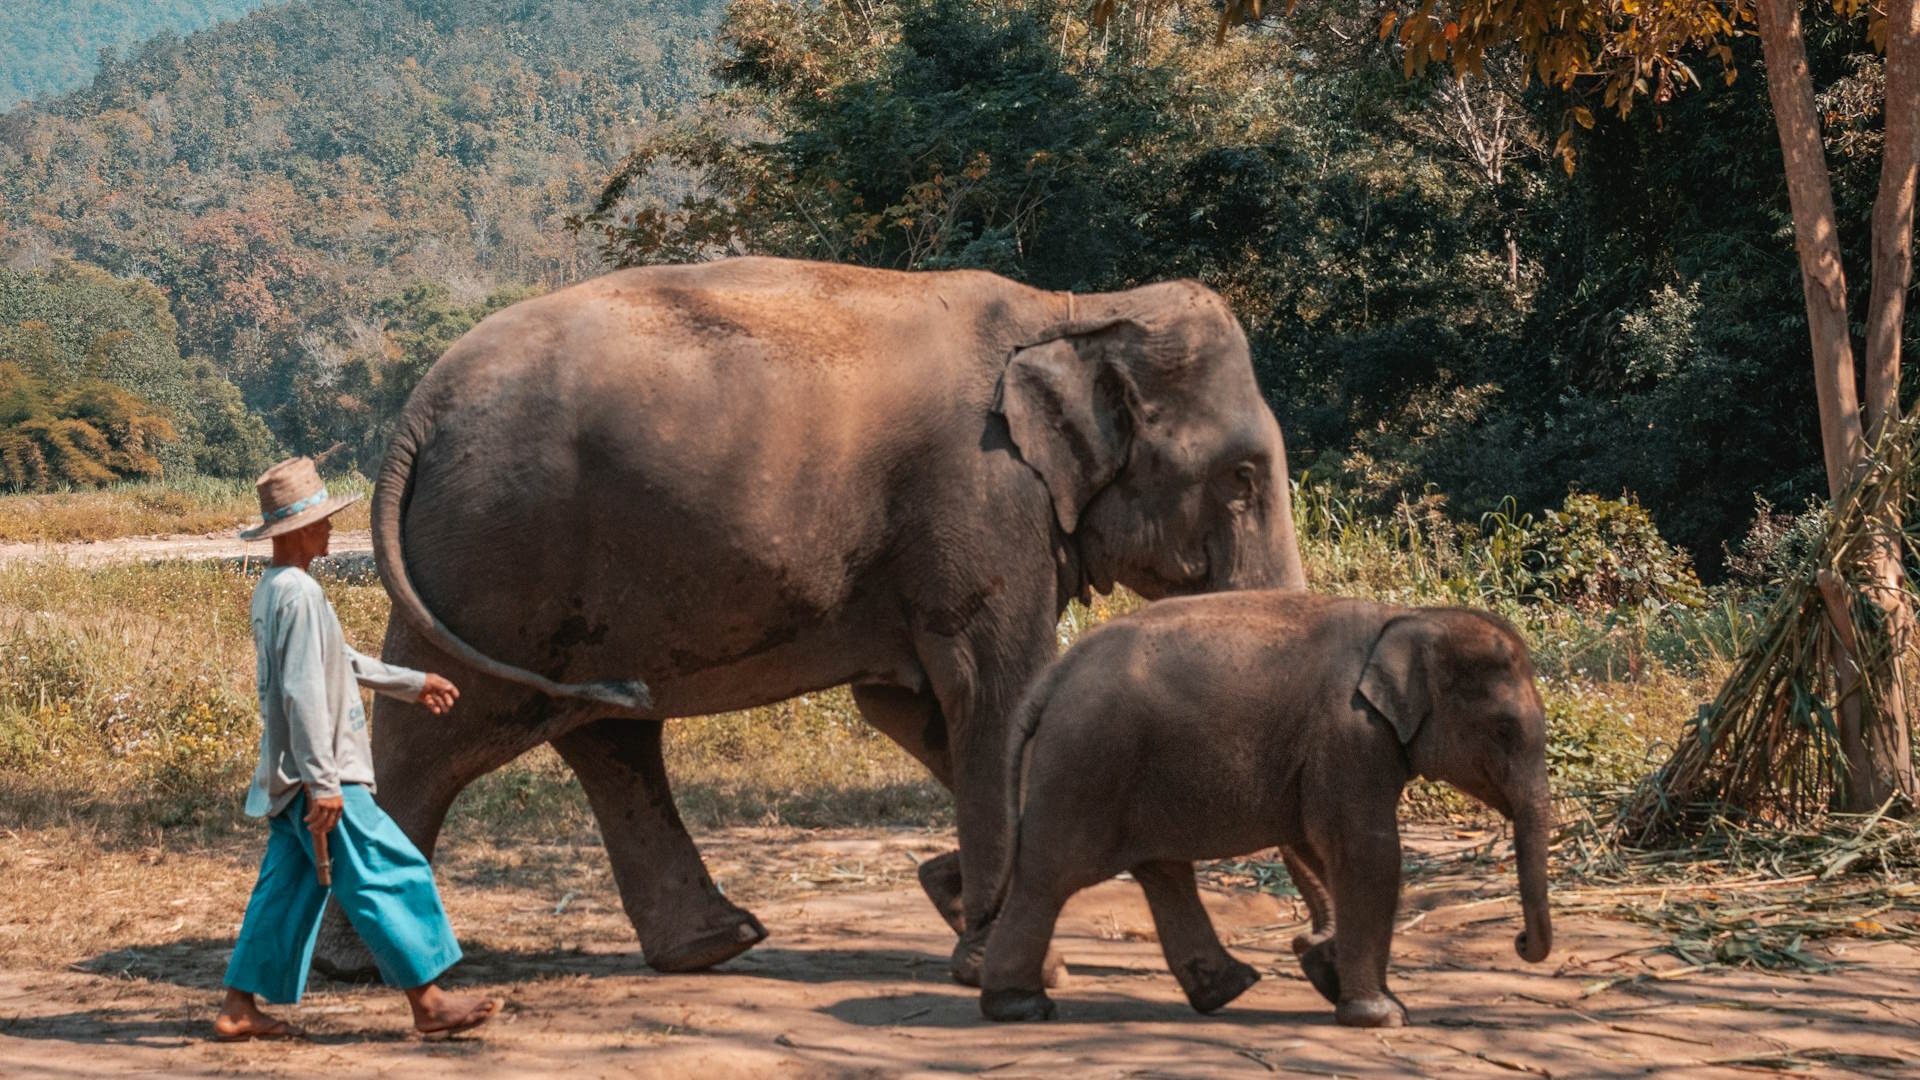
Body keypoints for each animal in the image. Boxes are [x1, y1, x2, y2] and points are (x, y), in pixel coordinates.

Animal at [311, 255, 1307, 982]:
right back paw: (363, 968)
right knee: (440, 733)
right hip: (499, 557)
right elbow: (995, 692)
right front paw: (1004, 955)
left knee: (603, 732)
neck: (1080, 308)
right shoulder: (981, 502)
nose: (1310, 958)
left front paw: (956, 900)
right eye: (1243, 478)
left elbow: (915, 707)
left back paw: (716, 945)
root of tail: (415, 416)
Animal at [977, 591, 1554, 1027]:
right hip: (1086, 765)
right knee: (1049, 876)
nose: (1521, 939)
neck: (1408, 617)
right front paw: (1383, 1016)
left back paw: (1228, 989)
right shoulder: (1350, 734)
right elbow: (1367, 851)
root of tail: (1053, 677)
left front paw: (1330, 971)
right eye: (1504, 731)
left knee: (1162, 871)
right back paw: (1019, 1006)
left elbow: (1319, 845)